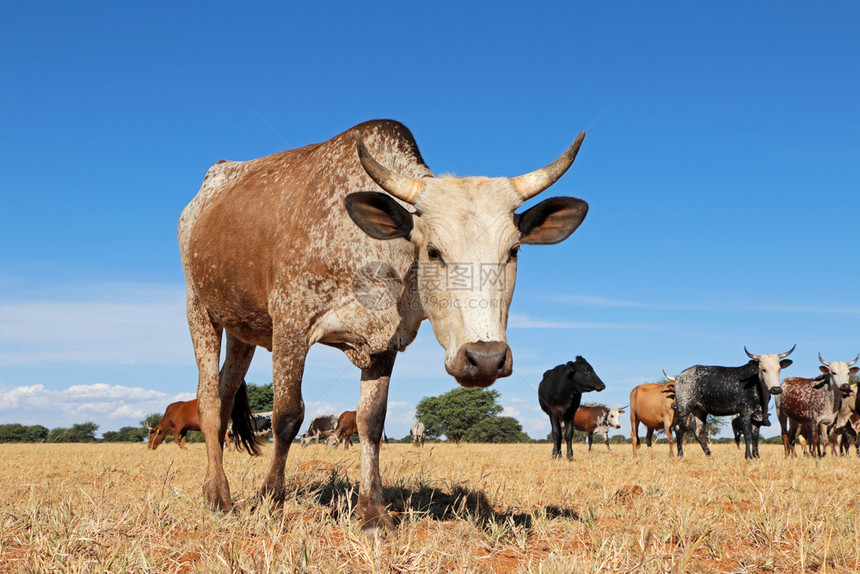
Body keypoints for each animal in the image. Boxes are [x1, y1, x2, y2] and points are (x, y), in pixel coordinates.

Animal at [176, 118, 592, 536]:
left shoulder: (383, 344)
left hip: (241, 331)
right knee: (209, 400)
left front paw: (373, 512)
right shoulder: (291, 325)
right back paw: (219, 496)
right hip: (200, 310)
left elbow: (371, 422)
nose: (485, 358)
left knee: (226, 395)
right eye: (433, 252)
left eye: (514, 251)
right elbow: (287, 416)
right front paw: (269, 503)